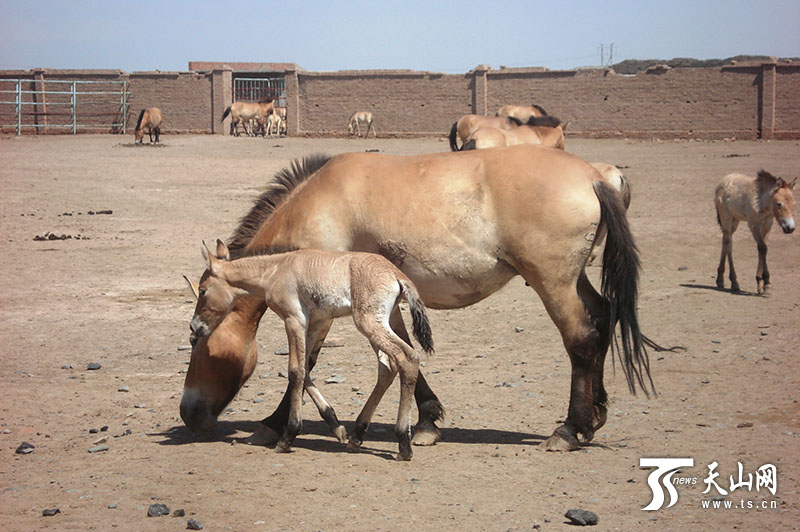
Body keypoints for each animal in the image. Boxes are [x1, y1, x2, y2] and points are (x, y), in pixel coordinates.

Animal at [188, 241, 434, 462]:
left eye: (203, 290)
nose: (194, 326)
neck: (276, 268)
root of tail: (396, 275)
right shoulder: (315, 323)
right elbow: (305, 368)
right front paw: (336, 427)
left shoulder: (294, 320)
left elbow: (295, 372)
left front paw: (288, 436)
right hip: (381, 323)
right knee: (387, 367)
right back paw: (356, 435)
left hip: (369, 323)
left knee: (408, 358)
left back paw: (403, 444)